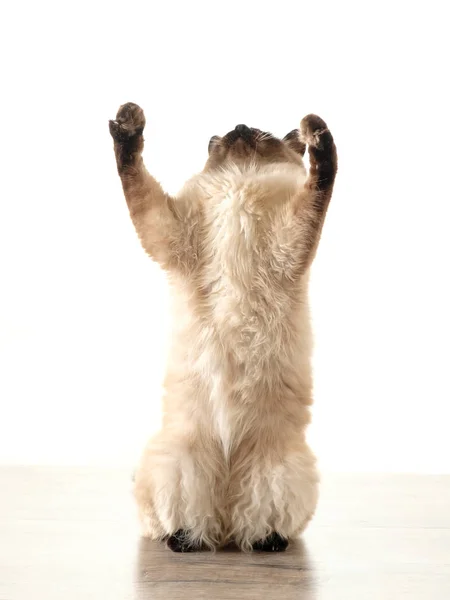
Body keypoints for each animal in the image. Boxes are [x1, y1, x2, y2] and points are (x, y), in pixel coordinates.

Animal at [109, 101, 338, 552]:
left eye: (260, 133)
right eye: (233, 134)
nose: (240, 125)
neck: (239, 181)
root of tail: (226, 519)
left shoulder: (291, 239)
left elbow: (322, 177)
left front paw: (316, 133)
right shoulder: (170, 233)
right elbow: (133, 176)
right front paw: (128, 122)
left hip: (281, 470)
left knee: (256, 523)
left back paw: (265, 542)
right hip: (175, 462)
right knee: (179, 522)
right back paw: (183, 541)